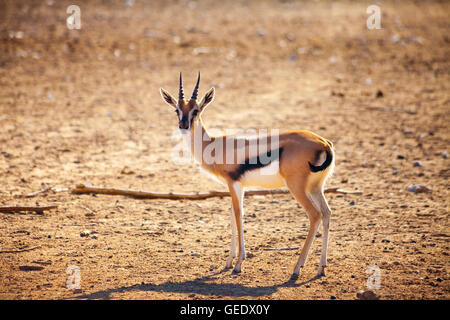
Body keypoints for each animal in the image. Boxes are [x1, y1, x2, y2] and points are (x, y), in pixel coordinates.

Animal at [161, 72, 334, 278]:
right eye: (177, 110)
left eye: (196, 110)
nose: (184, 125)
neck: (215, 146)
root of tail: (323, 143)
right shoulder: (238, 187)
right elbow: (232, 216)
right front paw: (228, 262)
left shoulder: (233, 184)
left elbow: (238, 215)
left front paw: (238, 264)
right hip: (316, 188)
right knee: (326, 213)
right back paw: (321, 268)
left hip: (297, 188)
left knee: (315, 215)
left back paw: (296, 269)